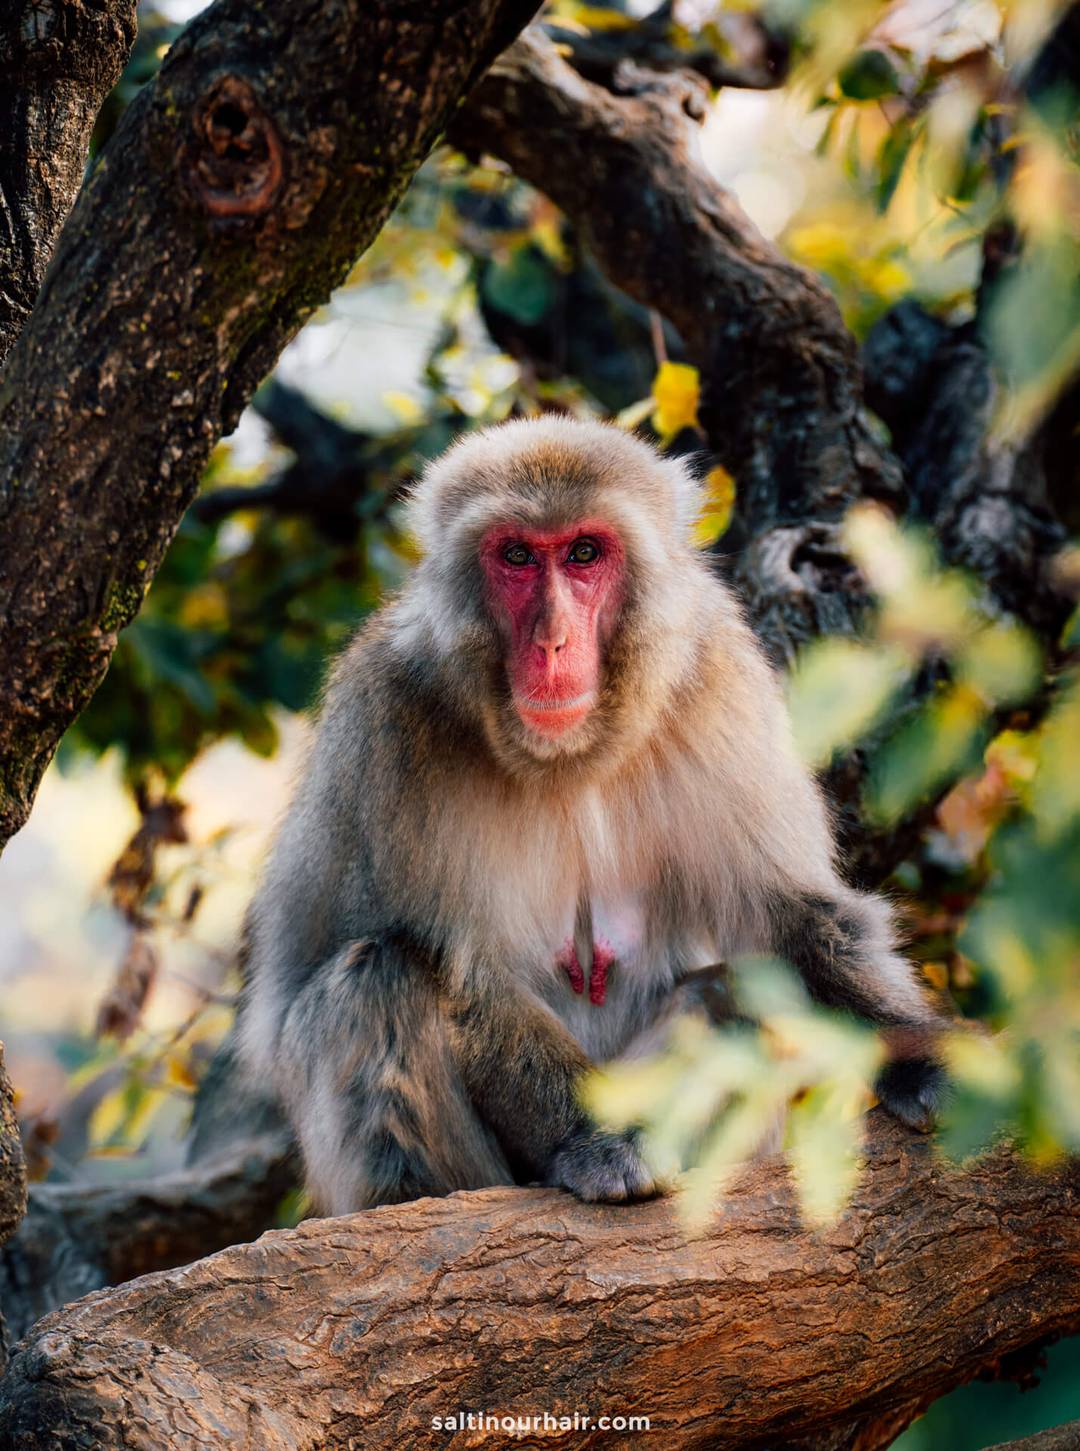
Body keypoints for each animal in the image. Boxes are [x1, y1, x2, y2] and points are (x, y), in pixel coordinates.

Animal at [223, 415, 944, 1215]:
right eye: (515, 555)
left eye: (584, 553)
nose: (552, 641)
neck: (566, 758)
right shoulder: (388, 722)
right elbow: (469, 973)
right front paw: (595, 1143)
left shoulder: (719, 678)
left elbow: (793, 914)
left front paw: (918, 1057)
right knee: (377, 974)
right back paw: (408, 1198)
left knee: (734, 993)